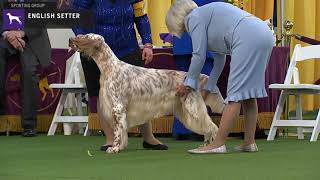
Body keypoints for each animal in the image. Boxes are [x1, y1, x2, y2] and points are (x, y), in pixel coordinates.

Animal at [70, 33, 225, 153]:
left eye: (85, 37)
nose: (70, 39)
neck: (110, 67)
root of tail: (193, 78)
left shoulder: (117, 108)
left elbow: (118, 132)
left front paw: (114, 148)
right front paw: (119, 147)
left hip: (192, 109)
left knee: (212, 127)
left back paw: (213, 147)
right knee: (207, 127)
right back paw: (204, 147)